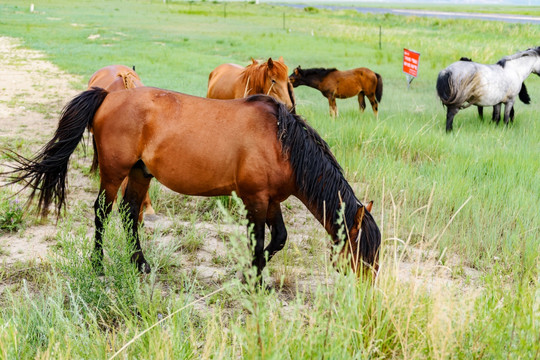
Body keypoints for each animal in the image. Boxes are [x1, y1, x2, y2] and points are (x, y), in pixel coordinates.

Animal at [1, 86, 380, 278]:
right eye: (362, 252)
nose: (365, 291)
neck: (281, 142)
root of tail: (109, 95)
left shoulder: (270, 200)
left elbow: (279, 239)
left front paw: (250, 272)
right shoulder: (256, 200)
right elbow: (260, 240)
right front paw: (254, 277)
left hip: (140, 173)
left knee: (128, 214)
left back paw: (140, 264)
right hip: (114, 173)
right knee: (102, 212)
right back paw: (97, 266)